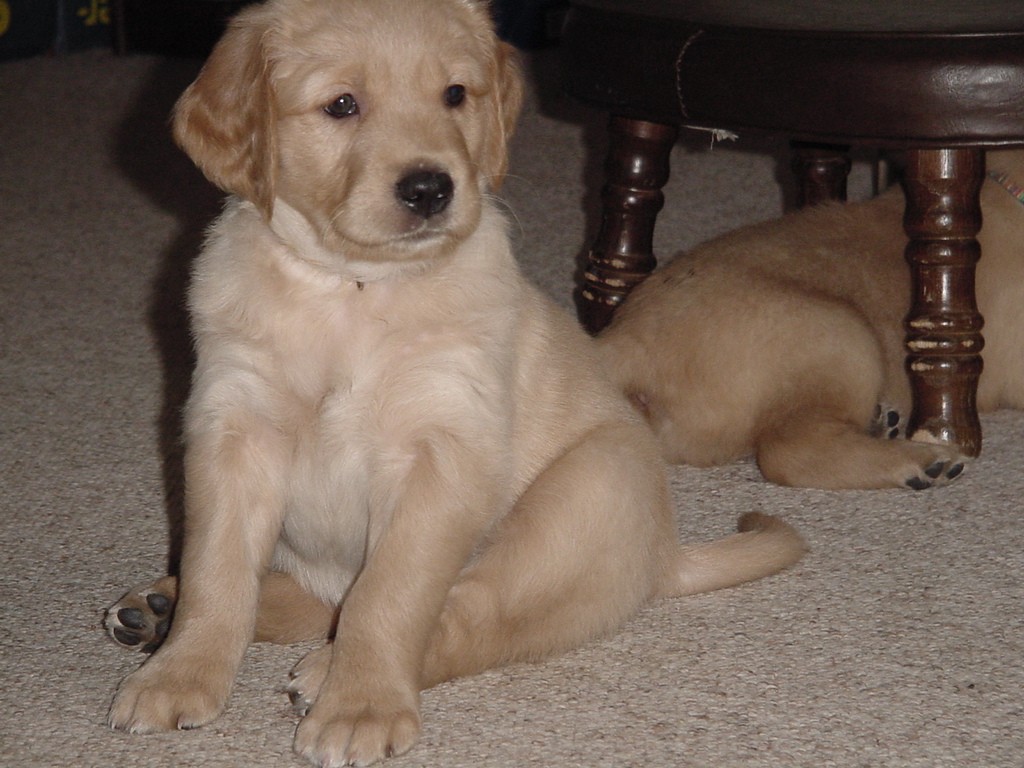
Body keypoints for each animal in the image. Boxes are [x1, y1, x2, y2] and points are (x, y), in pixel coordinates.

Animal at [103, 1, 806, 768]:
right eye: (341, 105)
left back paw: (323, 676)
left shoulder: (441, 453)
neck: (351, 288)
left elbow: (390, 596)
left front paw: (362, 705)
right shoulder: (234, 429)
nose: (429, 188)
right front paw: (178, 673)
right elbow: (218, 571)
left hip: (579, 501)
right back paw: (156, 611)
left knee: (461, 617)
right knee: (313, 598)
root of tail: (663, 558)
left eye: (455, 95)